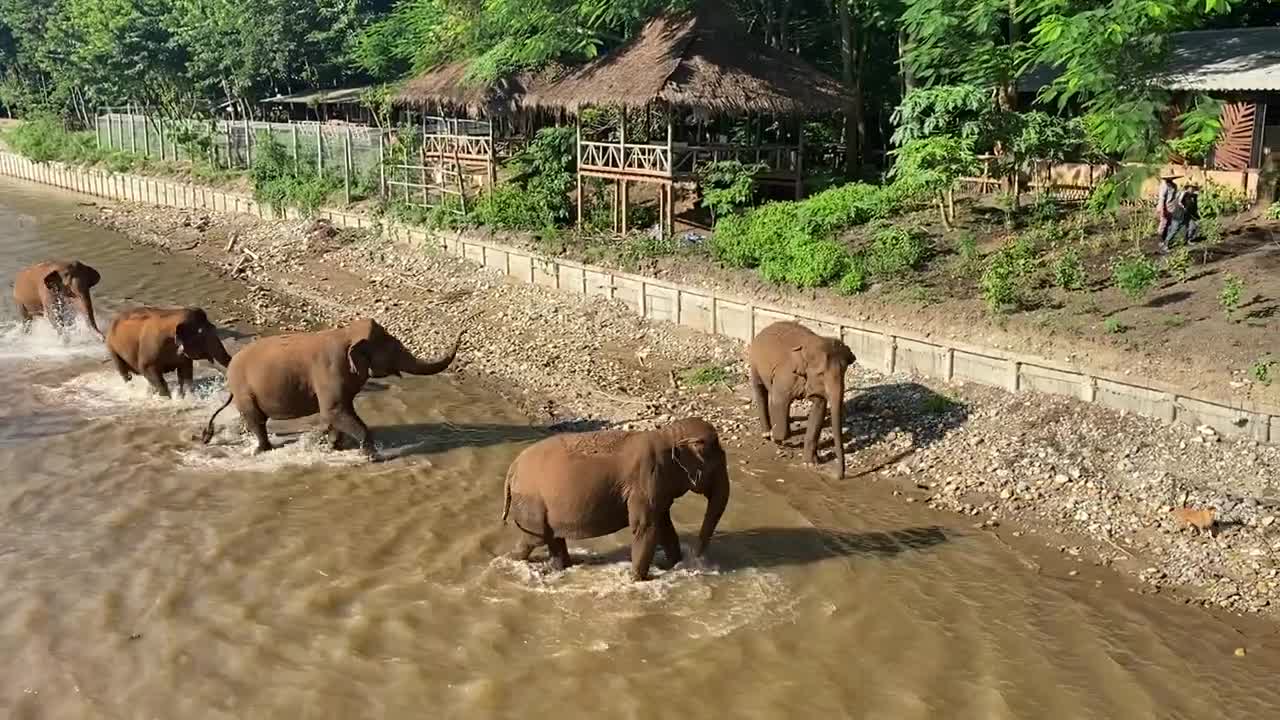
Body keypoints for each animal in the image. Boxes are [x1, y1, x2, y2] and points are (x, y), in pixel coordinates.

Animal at [106, 303, 234, 397]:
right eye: (201, 334)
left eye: (214, 327)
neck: (175, 316)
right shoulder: (148, 354)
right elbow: (150, 373)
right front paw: (167, 399)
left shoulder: (182, 356)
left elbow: (185, 374)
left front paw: (186, 397)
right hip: (112, 348)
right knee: (125, 373)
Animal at [199, 317, 460, 456]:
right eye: (394, 349)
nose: (460, 335)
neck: (347, 332)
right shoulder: (329, 370)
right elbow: (334, 410)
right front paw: (372, 457)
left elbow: (340, 412)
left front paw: (335, 447)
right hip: (244, 391)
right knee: (257, 420)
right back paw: (263, 450)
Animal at [499, 417, 732, 579]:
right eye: (716, 465)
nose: (695, 560)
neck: (667, 435)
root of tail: (511, 469)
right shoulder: (645, 481)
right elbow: (645, 527)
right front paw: (637, 580)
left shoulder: (657, 487)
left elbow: (665, 526)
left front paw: (674, 565)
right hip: (532, 504)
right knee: (534, 539)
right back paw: (507, 562)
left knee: (552, 538)